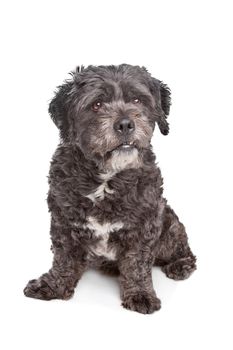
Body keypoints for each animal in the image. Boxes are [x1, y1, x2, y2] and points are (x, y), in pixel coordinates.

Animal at [23, 64, 196, 314]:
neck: (107, 178)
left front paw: (141, 294)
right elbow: (63, 257)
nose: (125, 124)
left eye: (137, 99)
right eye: (97, 104)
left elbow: (137, 262)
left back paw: (180, 265)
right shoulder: (63, 220)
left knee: (182, 248)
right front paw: (53, 285)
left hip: (169, 225)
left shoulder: (145, 224)